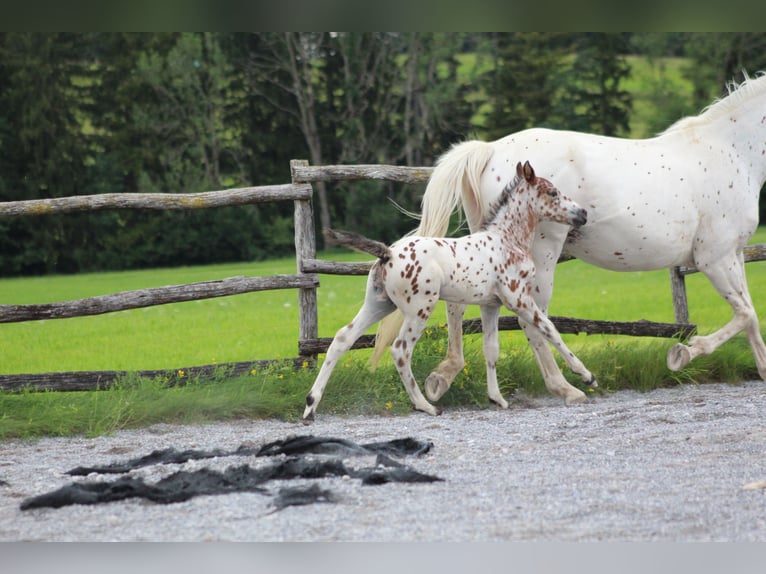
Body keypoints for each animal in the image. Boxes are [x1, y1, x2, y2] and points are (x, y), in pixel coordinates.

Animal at [304, 162, 596, 424]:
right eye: (553, 192)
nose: (582, 214)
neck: (507, 241)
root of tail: (387, 253)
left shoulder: (491, 305)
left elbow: (492, 349)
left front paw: (497, 399)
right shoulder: (518, 298)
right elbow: (550, 329)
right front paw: (586, 376)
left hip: (378, 304)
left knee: (342, 339)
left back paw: (310, 406)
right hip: (419, 308)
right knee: (400, 350)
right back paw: (426, 406)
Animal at [376, 72, 766, 408]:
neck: (730, 152)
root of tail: (489, 150)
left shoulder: (733, 255)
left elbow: (749, 314)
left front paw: (760, 369)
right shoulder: (714, 258)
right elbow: (745, 313)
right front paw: (682, 354)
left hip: (479, 248)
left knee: (462, 305)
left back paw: (442, 378)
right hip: (540, 256)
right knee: (532, 319)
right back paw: (567, 387)